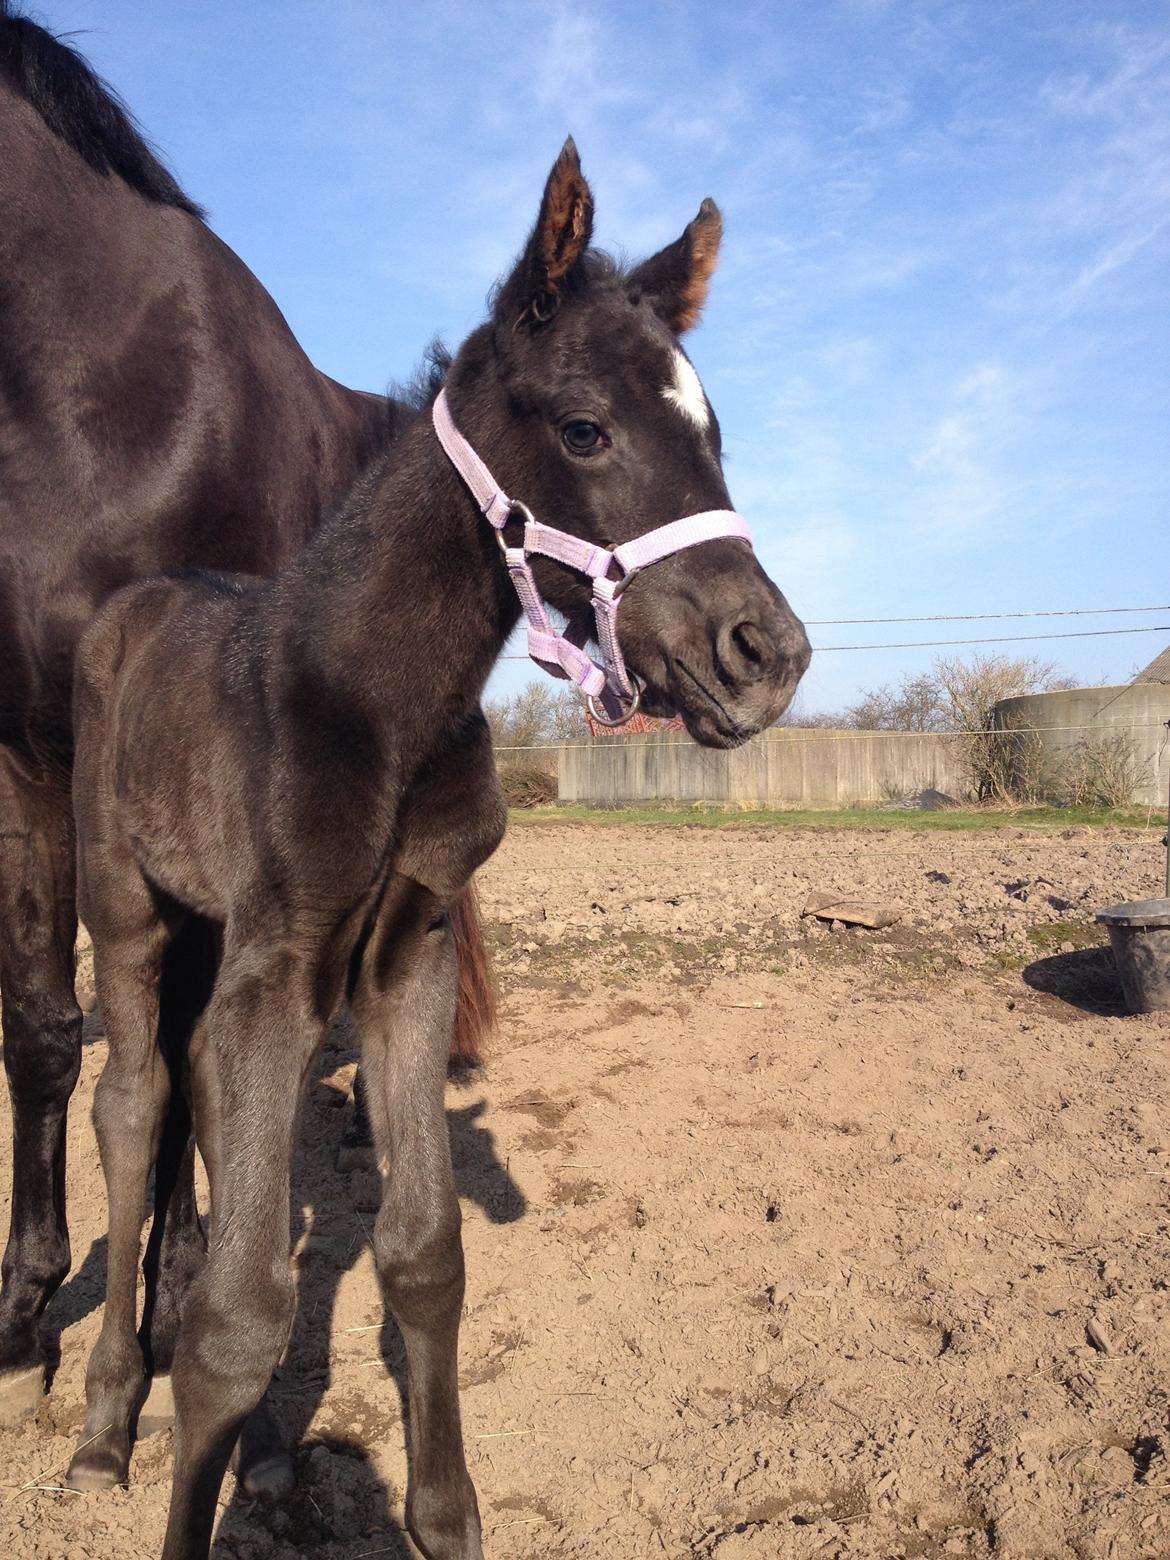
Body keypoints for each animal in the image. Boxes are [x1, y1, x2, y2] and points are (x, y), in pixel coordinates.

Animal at [68, 140, 811, 1553]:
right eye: (583, 427)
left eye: (716, 435)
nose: (769, 655)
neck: (372, 700)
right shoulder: (282, 963)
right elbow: (239, 1322)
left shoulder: (401, 955)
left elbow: (423, 1251)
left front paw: (444, 1514)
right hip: (127, 909)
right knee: (132, 1101)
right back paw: (100, 1420)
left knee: (195, 1098)